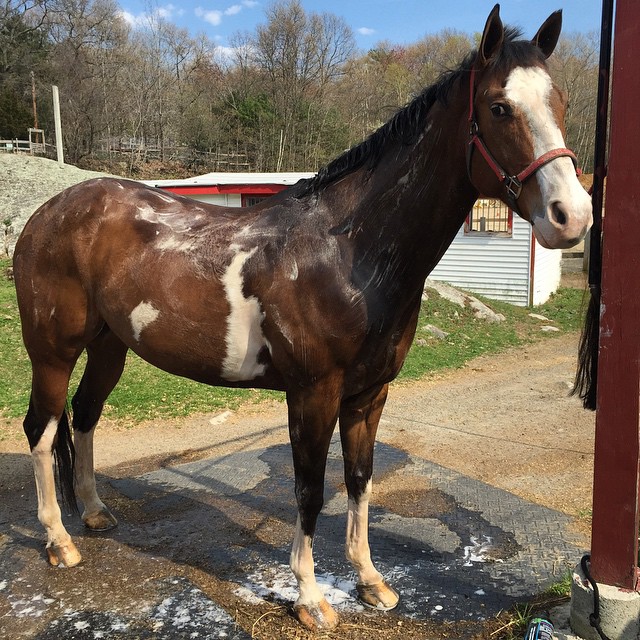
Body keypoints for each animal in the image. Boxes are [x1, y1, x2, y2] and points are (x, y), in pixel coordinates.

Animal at [13, 5, 591, 631]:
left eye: (560, 101)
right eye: (499, 107)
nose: (573, 216)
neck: (348, 252)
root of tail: (46, 214)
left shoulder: (369, 394)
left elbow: (359, 480)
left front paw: (370, 581)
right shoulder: (313, 392)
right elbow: (309, 488)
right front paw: (311, 598)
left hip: (110, 346)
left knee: (85, 415)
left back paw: (94, 514)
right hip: (52, 350)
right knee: (42, 429)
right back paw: (59, 541)